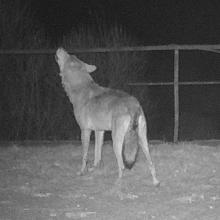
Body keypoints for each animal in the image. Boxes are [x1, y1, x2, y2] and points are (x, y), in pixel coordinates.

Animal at [54, 48, 159, 186]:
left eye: (67, 55)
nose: (60, 48)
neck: (80, 88)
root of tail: (133, 105)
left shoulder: (85, 130)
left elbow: (85, 155)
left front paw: (82, 171)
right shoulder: (99, 131)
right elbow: (97, 154)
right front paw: (94, 169)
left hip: (117, 142)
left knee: (122, 166)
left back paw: (117, 183)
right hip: (142, 140)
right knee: (151, 163)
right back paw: (155, 182)